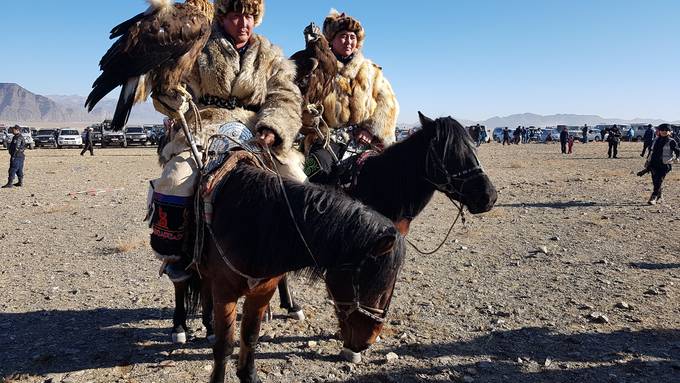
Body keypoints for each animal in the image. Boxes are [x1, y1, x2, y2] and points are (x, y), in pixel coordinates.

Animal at [194, 164, 406, 382]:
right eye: (377, 289)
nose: (368, 341)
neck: (254, 226)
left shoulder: (261, 293)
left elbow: (251, 336)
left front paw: (249, 376)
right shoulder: (225, 292)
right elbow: (224, 346)